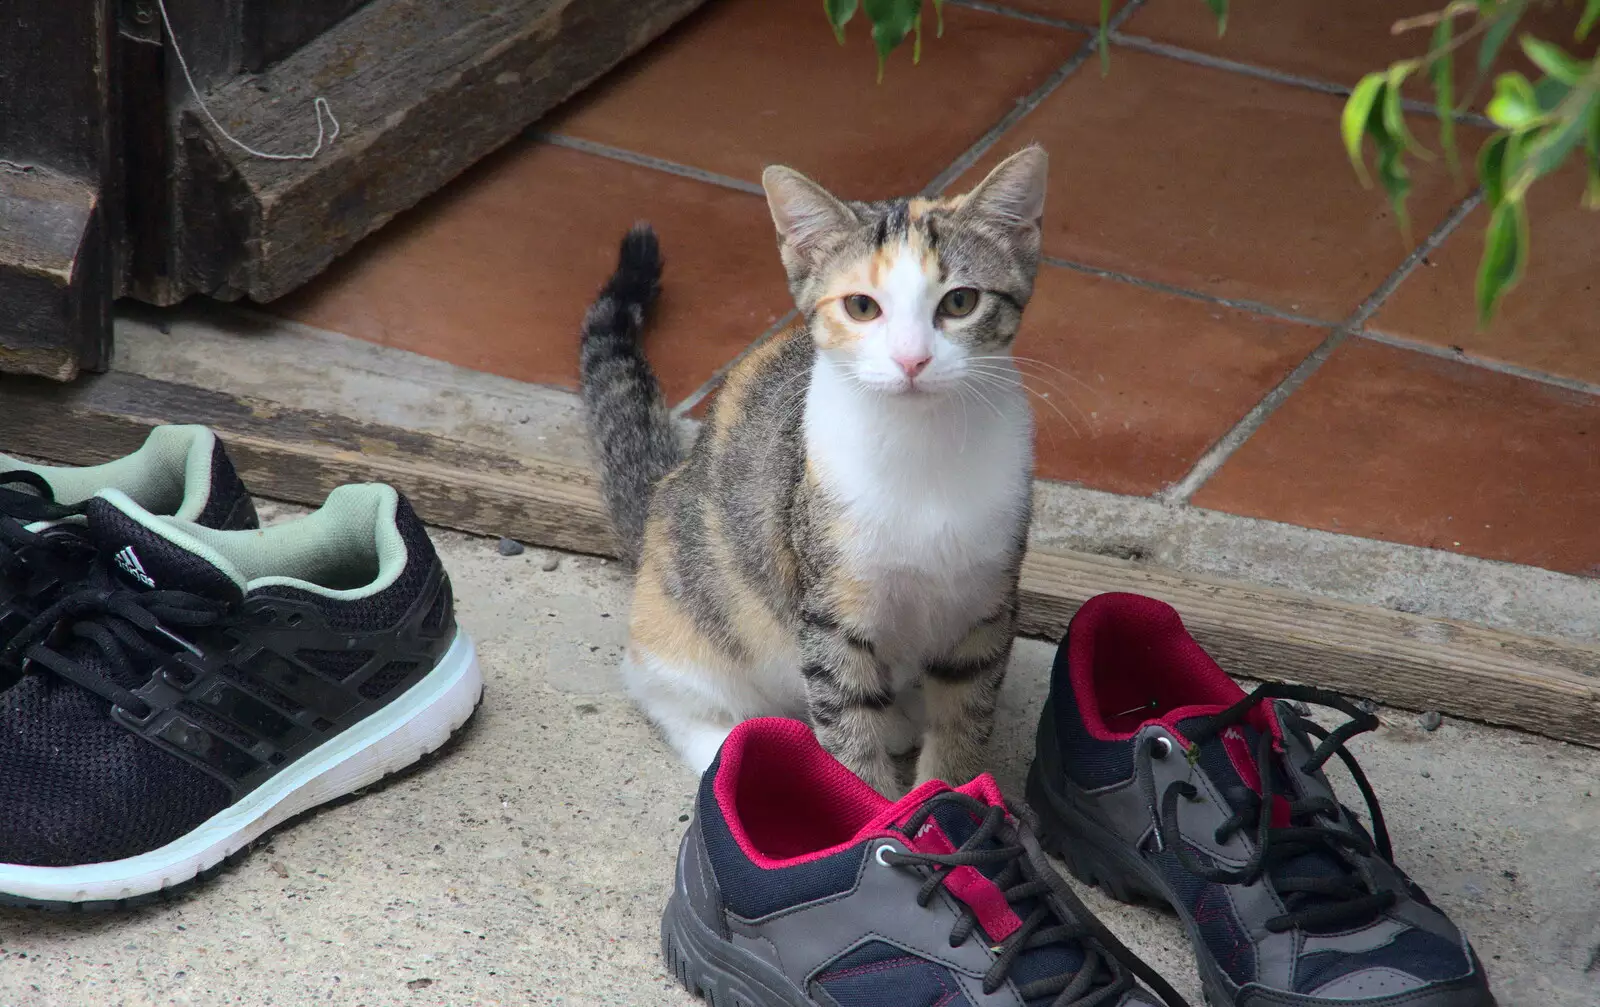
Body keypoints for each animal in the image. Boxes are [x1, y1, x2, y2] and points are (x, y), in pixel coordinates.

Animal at [582, 148, 1043, 794]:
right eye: (861, 306)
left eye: (960, 302)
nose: (912, 359)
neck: (923, 449)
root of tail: (661, 493)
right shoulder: (829, 608)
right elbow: (846, 725)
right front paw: (874, 808)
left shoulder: (986, 602)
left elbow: (964, 714)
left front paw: (951, 792)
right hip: (691, 613)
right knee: (665, 689)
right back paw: (727, 748)